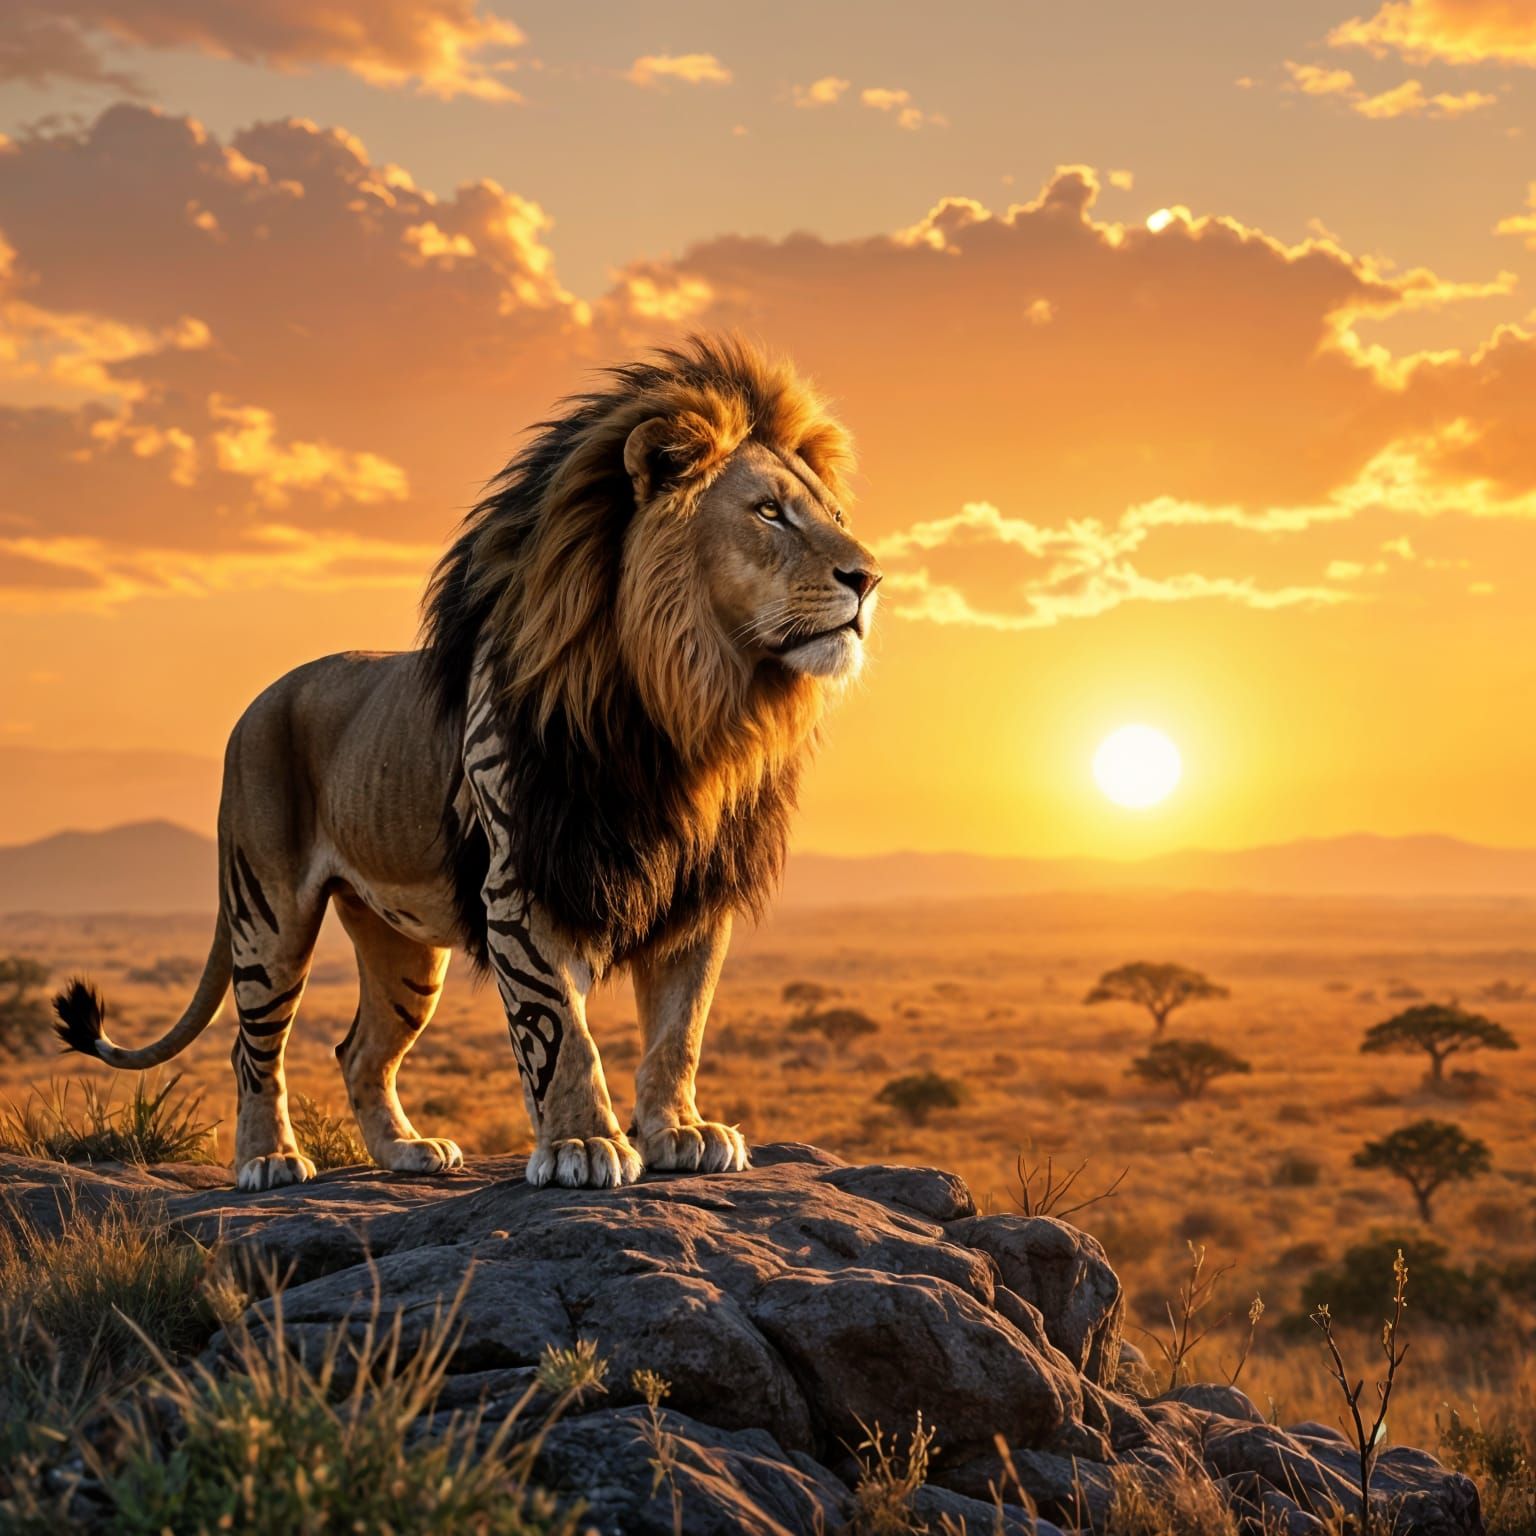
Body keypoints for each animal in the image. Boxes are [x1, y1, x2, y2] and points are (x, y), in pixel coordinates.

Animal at [53, 334, 882, 1192]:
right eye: (768, 512)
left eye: (836, 516)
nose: (869, 577)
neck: (683, 710)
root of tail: (258, 702)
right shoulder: (522, 878)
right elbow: (561, 1030)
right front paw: (584, 1144)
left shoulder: (696, 890)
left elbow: (678, 1030)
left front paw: (682, 1131)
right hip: (268, 914)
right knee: (253, 1049)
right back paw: (270, 1160)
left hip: (404, 950)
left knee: (359, 1051)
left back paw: (407, 1152)